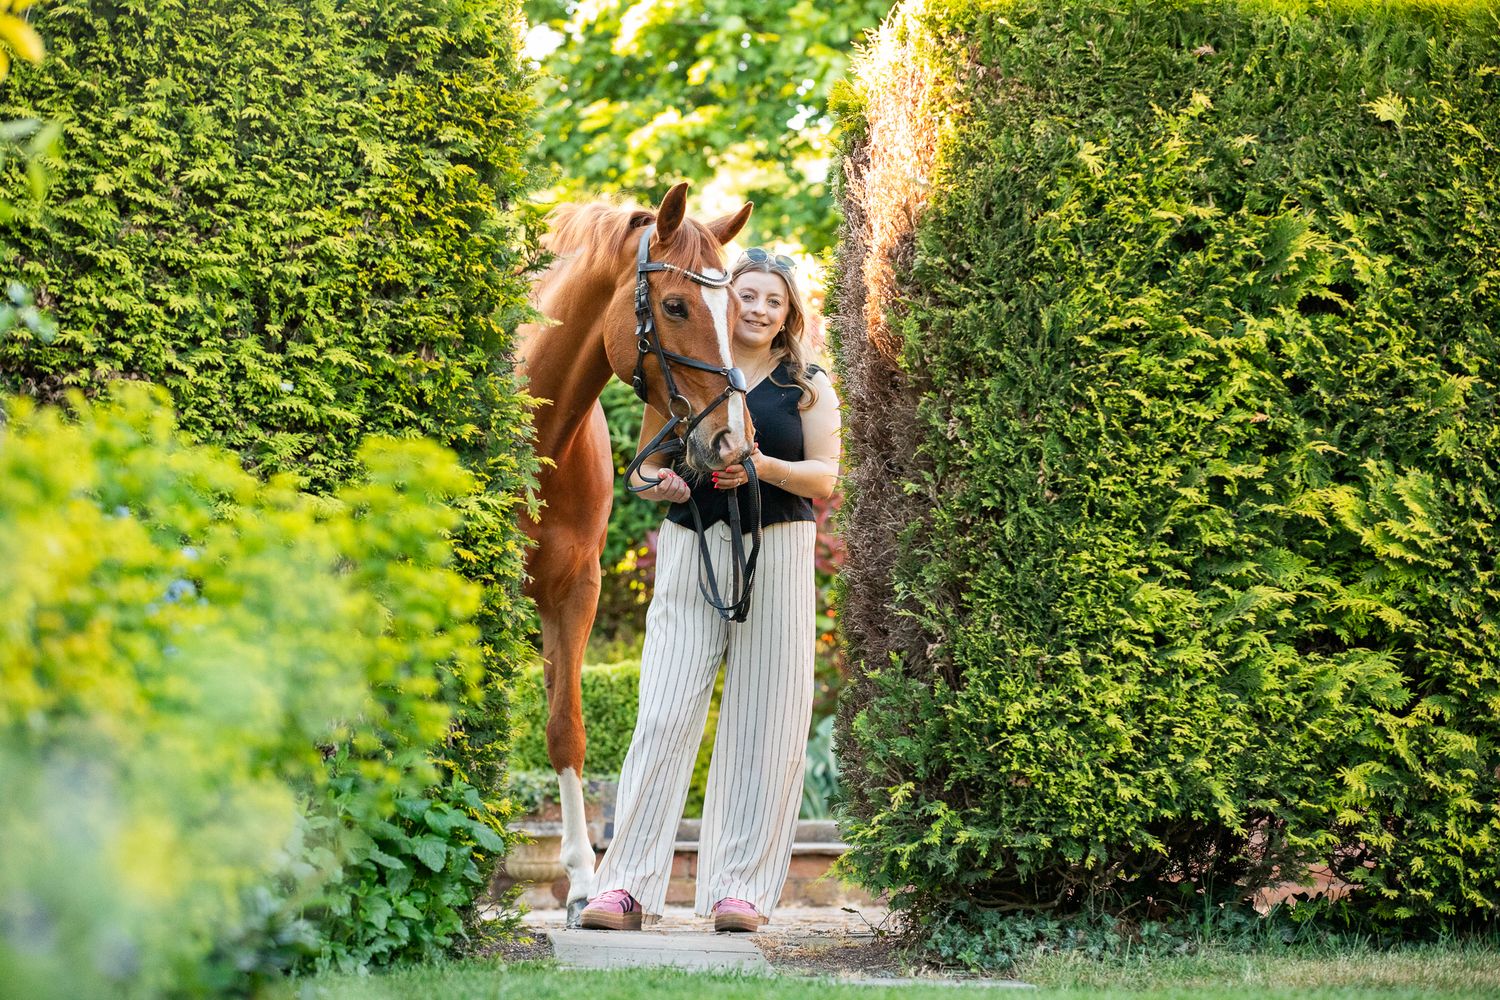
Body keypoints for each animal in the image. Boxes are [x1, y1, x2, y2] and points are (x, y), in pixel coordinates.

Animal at [516, 182, 754, 924]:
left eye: (737, 308)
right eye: (675, 305)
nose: (730, 444)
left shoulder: (574, 592)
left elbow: (565, 728)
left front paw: (582, 884)